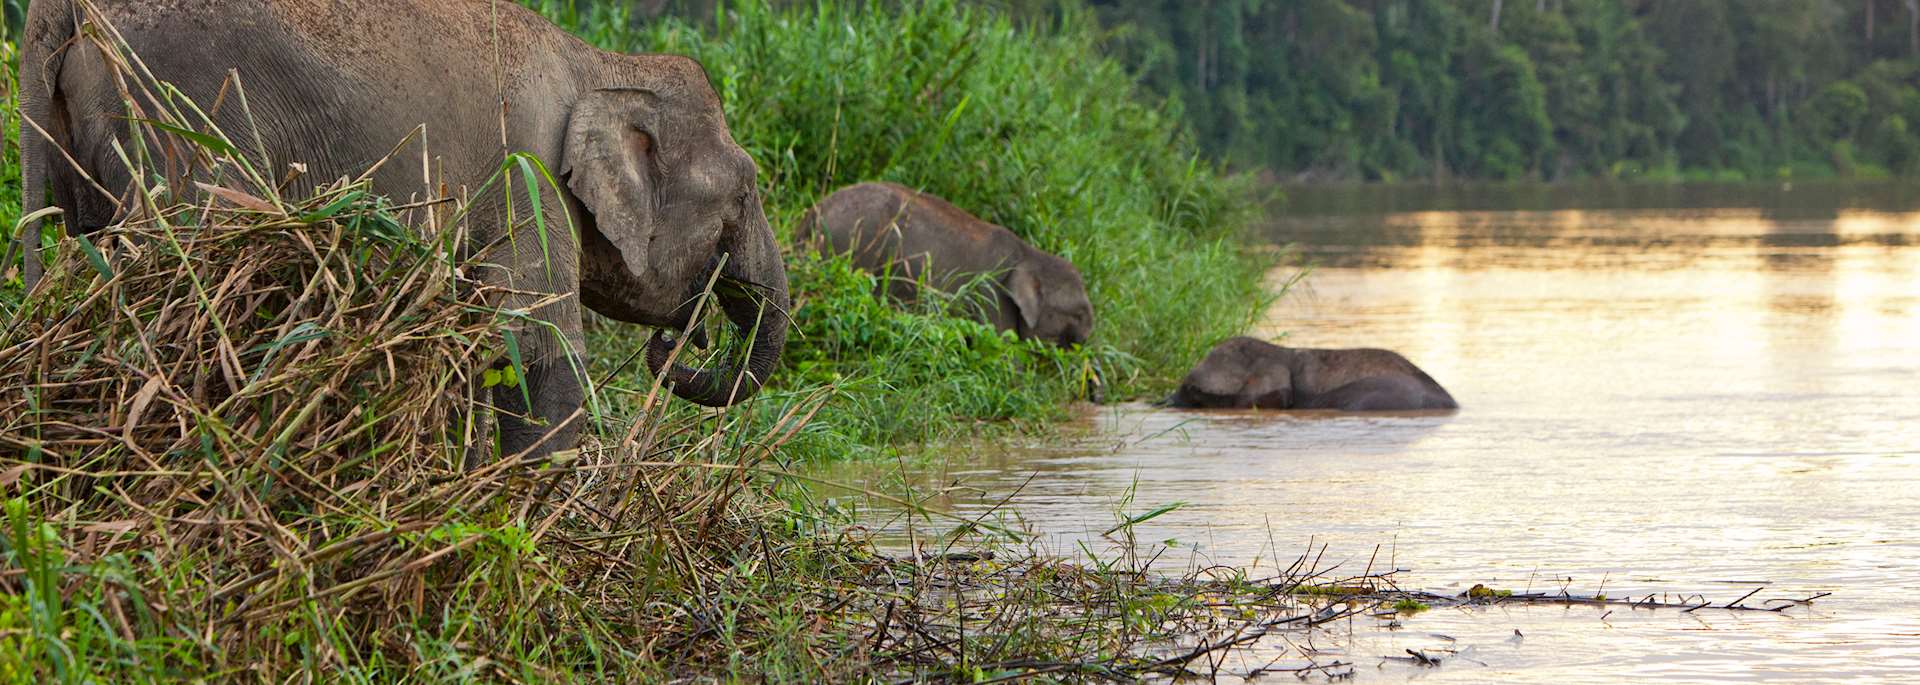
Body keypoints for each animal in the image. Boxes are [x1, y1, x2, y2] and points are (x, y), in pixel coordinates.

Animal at [14, 0, 790, 461]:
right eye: (747, 190)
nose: (682, 338)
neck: (603, 65)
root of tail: (61, 11)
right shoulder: (527, 172)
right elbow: (537, 341)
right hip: (182, 128)